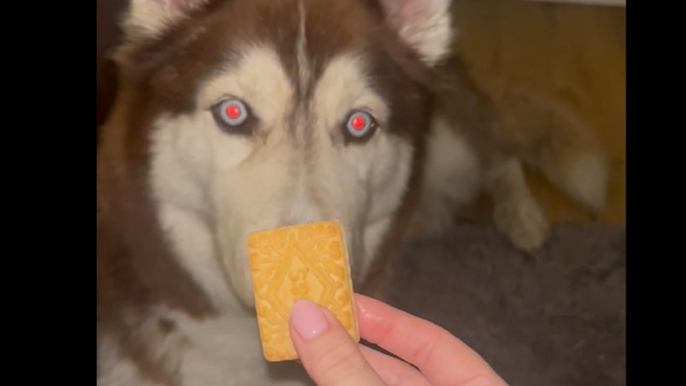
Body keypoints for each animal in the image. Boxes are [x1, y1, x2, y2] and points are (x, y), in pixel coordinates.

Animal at [95, 0, 608, 382]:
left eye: (359, 123)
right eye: (233, 113)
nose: (301, 271)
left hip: (452, 152)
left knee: (500, 149)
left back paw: (523, 216)